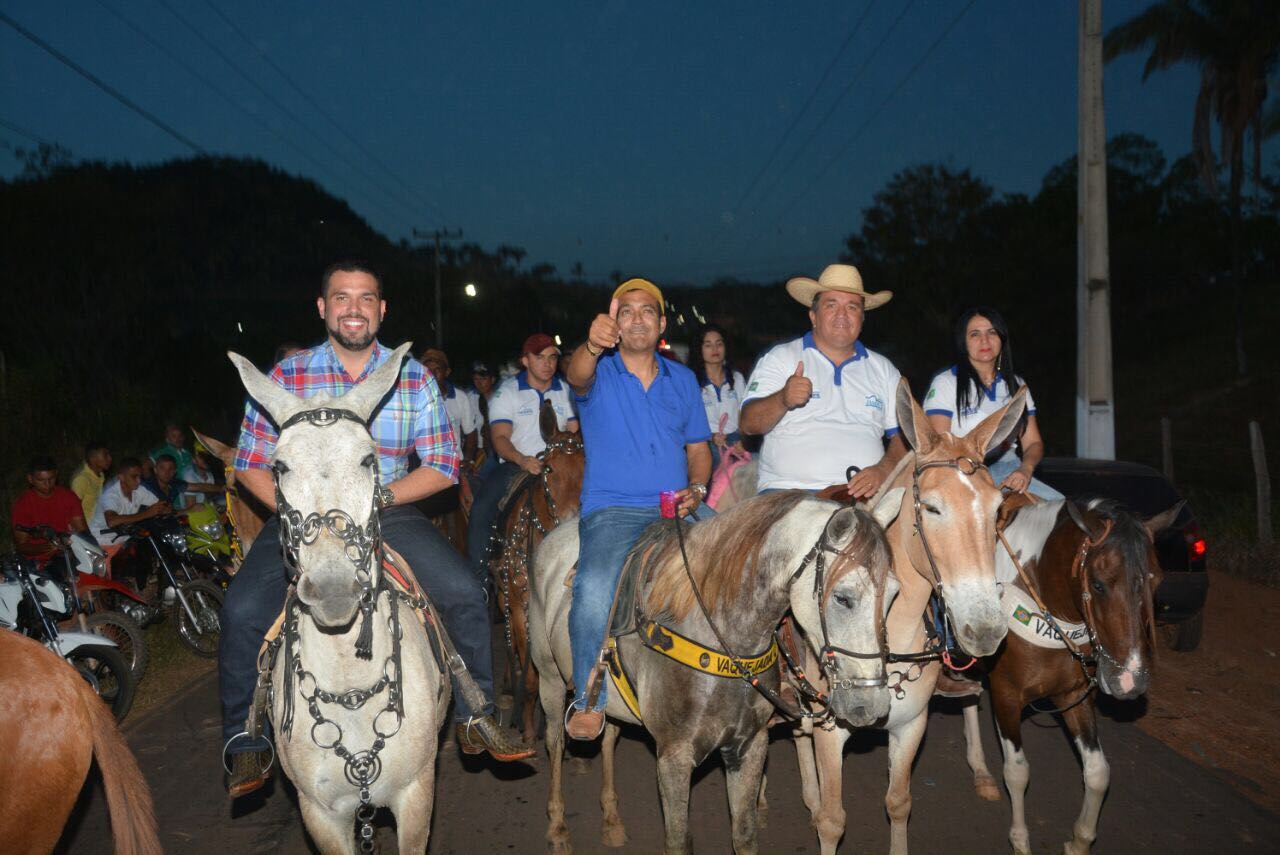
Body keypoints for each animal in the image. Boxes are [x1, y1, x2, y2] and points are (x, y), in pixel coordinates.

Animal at [488, 401, 586, 742]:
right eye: (548, 469)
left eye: (587, 468)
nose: (570, 519)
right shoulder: (522, 608)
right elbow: (530, 675)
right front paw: (530, 728)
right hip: (504, 596)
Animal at [962, 496, 1177, 849]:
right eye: (1099, 584)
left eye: (1157, 579)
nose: (1130, 680)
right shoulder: (1006, 696)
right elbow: (1018, 772)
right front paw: (1020, 841)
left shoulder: (1073, 695)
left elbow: (1098, 773)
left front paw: (1079, 842)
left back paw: (980, 771)